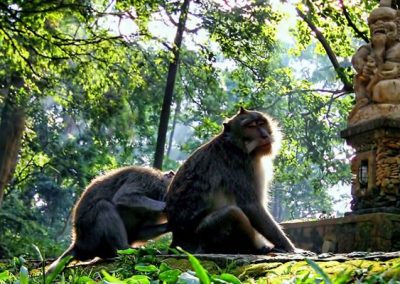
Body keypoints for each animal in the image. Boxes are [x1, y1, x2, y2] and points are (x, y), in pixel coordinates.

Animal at [45, 166, 173, 272]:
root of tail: (78, 243)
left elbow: (138, 231)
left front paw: (169, 226)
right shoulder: (147, 179)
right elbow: (123, 197)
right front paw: (163, 206)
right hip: (91, 236)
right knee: (103, 206)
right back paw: (124, 250)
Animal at [166, 107, 296, 254]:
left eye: (261, 123)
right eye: (250, 126)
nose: (264, 136)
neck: (236, 145)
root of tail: (176, 242)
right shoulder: (240, 164)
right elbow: (251, 206)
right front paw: (289, 247)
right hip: (203, 237)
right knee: (232, 213)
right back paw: (256, 249)